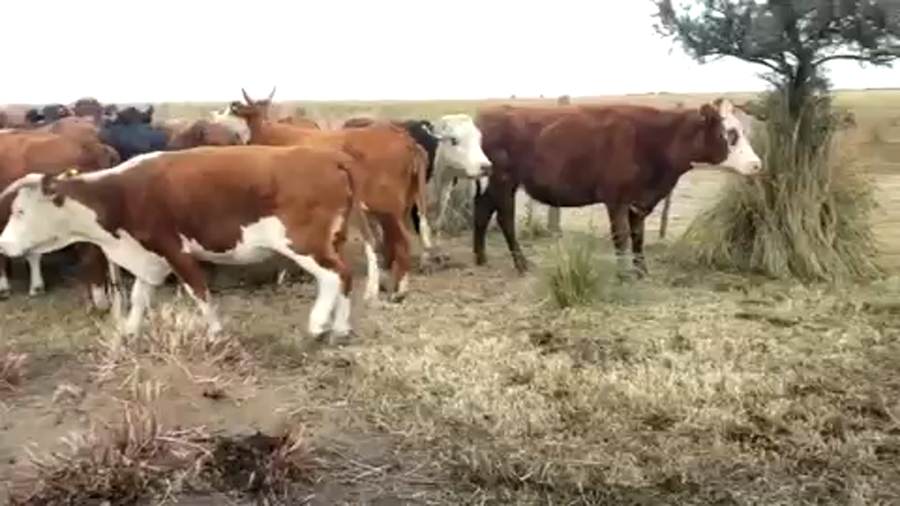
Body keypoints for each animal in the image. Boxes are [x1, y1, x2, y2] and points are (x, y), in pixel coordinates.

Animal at [212, 87, 431, 302]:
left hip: (386, 207)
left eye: (232, 108)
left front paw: (284, 274)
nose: (214, 116)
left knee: (401, 241)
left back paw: (397, 292)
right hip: (400, 206)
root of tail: (406, 140)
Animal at [473, 98, 762, 275]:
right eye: (731, 134)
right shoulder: (616, 199)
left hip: (496, 182)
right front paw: (623, 274)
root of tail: (490, 113)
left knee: (482, 209)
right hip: (504, 181)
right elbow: (621, 236)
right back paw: (521, 264)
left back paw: (481, 257)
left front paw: (641, 271)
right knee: (504, 217)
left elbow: (638, 236)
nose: (757, 164)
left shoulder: (640, 202)